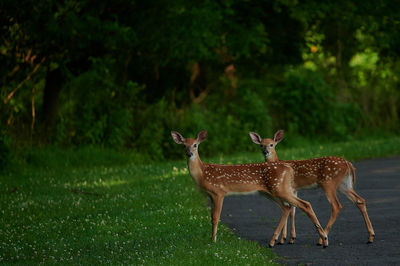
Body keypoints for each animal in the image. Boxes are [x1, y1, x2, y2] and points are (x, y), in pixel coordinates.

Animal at [171, 130, 328, 248]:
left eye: (195, 145)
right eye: (183, 145)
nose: (189, 154)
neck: (203, 174)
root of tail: (288, 168)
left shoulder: (219, 192)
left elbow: (216, 218)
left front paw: (213, 241)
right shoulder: (210, 195)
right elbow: (211, 217)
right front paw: (211, 239)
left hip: (279, 189)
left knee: (304, 204)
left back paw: (324, 239)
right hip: (270, 192)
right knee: (287, 207)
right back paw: (273, 241)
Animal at [248, 130, 376, 244]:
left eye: (271, 144)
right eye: (261, 145)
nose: (265, 152)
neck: (277, 162)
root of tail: (348, 163)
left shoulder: (289, 188)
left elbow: (291, 209)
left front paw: (284, 239)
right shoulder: (294, 189)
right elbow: (292, 210)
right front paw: (288, 238)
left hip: (328, 183)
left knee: (336, 206)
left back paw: (321, 239)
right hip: (344, 185)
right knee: (360, 200)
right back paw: (370, 236)